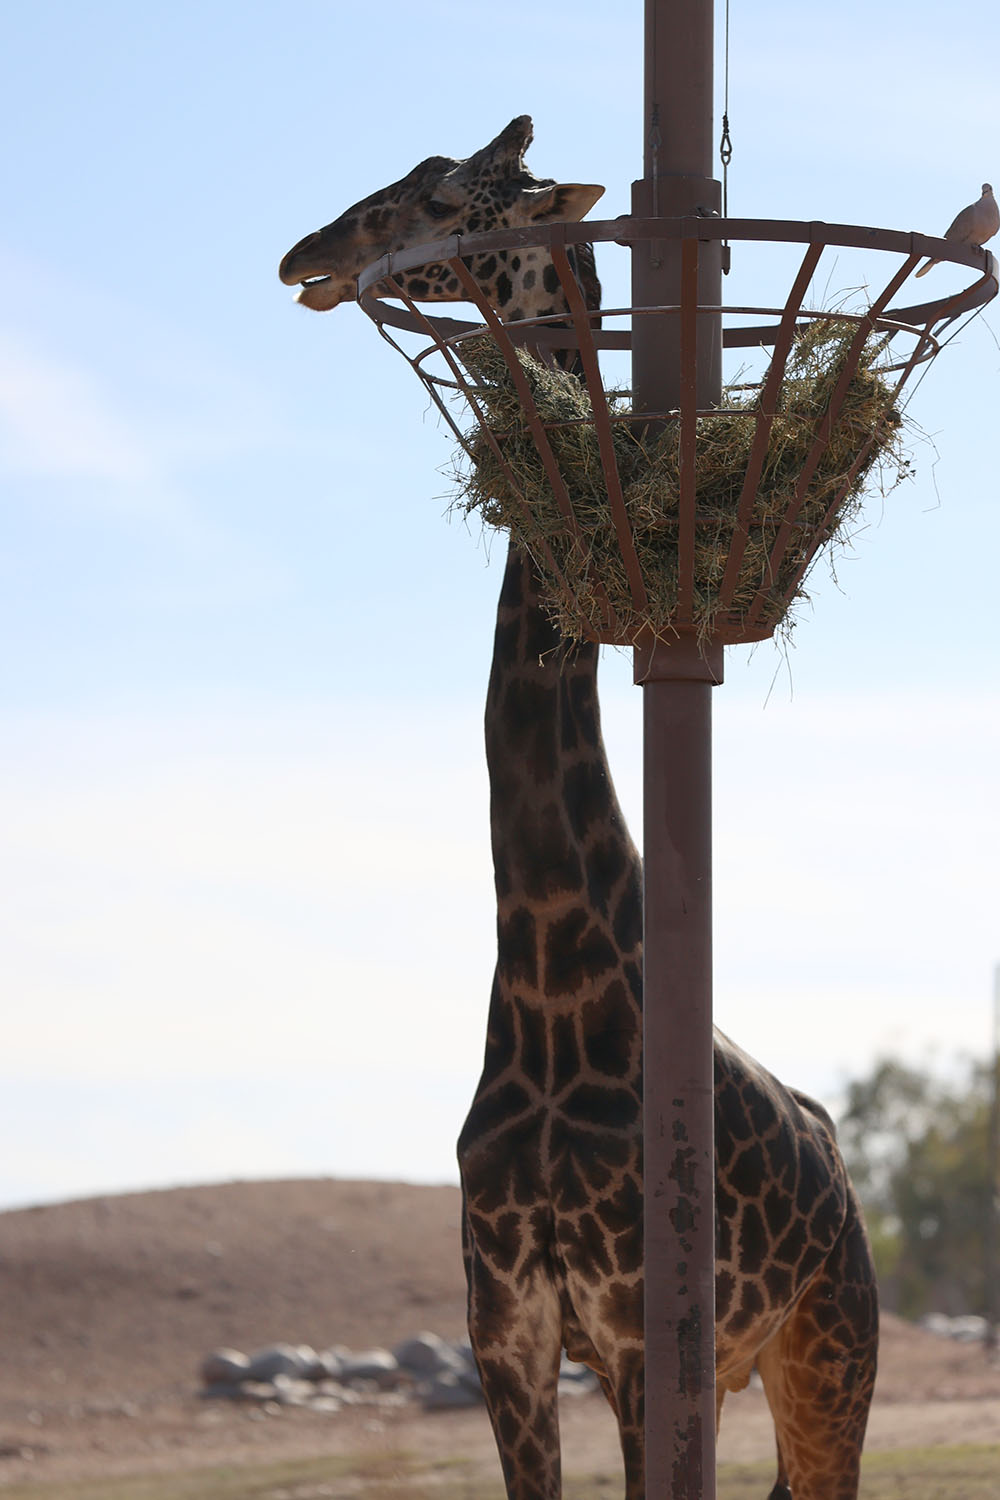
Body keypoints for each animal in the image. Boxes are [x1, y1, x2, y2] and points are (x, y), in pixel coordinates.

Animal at [280, 111, 875, 1494]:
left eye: (446, 198)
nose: (304, 255)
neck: (552, 973)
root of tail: (840, 1172)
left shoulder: (645, 1329)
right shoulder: (508, 1325)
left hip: (828, 1346)